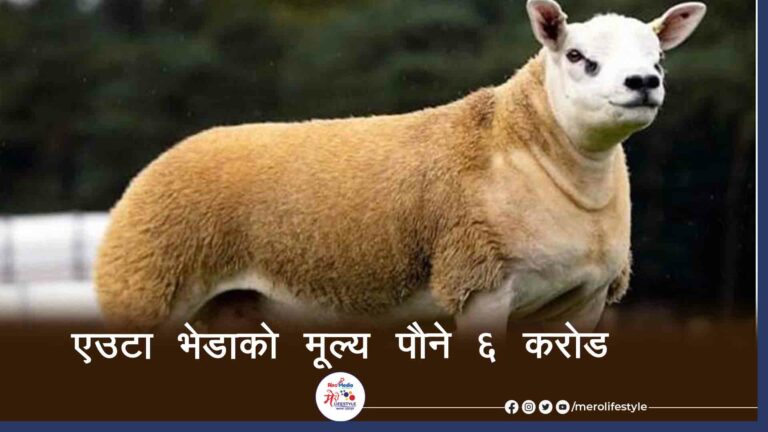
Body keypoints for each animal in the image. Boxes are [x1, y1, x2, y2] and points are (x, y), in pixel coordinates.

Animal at [94, 0, 707, 336]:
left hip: (231, 309)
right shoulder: (478, 282)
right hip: (145, 289)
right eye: (578, 57)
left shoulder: (585, 300)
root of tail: (153, 168)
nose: (644, 82)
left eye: (659, 56)